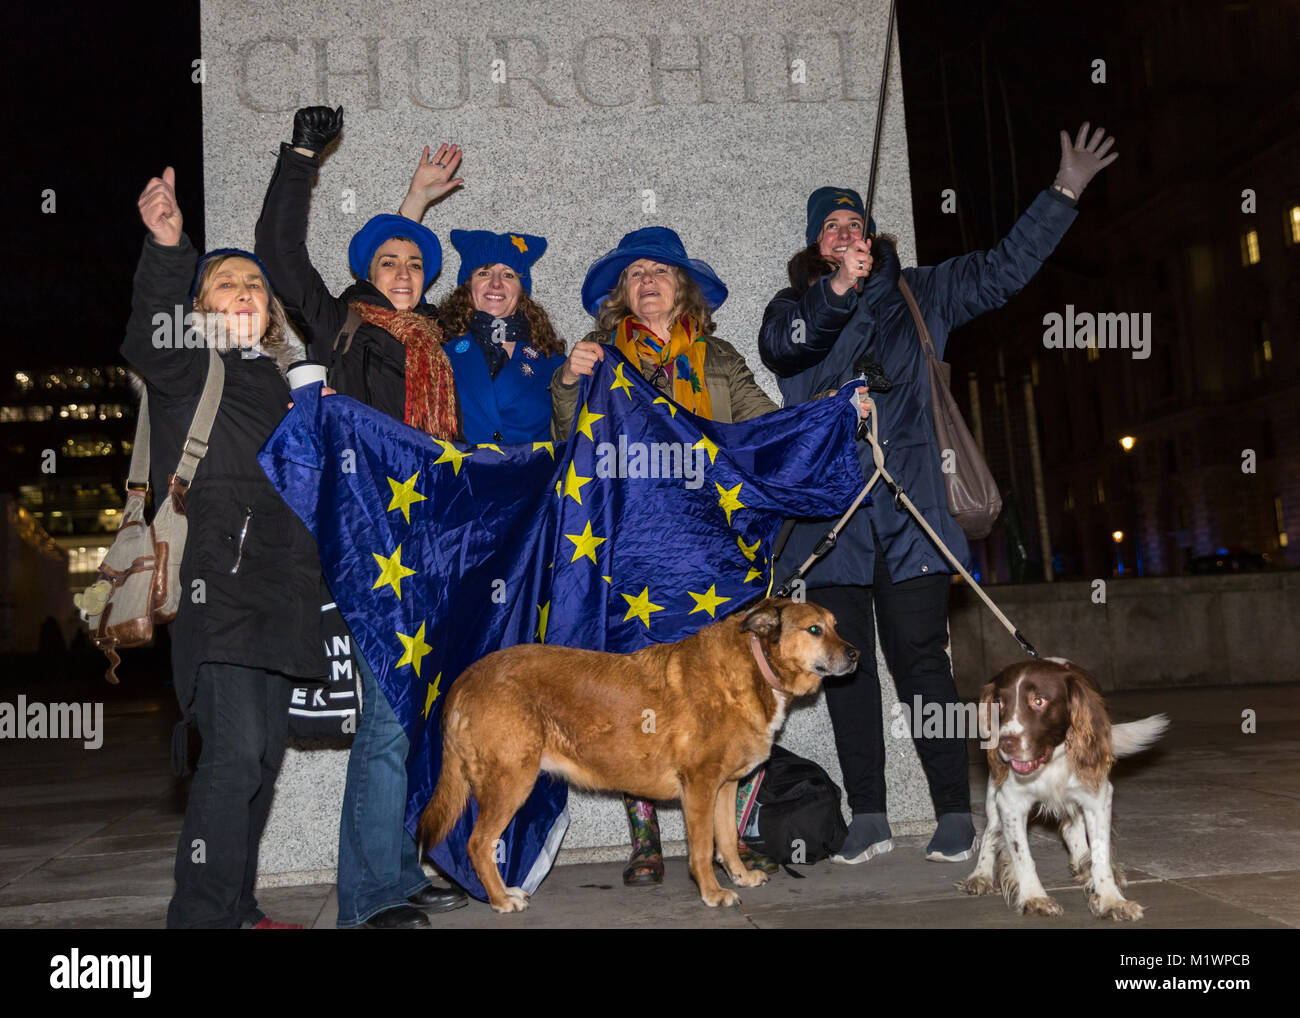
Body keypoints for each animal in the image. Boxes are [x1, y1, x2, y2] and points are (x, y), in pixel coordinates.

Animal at [416, 592, 857, 910]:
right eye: (814, 629)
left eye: (836, 626)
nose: (855, 654)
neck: (755, 665)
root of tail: (466, 679)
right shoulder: (699, 788)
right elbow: (703, 850)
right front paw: (712, 892)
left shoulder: (726, 787)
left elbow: (728, 841)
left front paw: (740, 876)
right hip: (511, 783)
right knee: (477, 844)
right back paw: (500, 900)